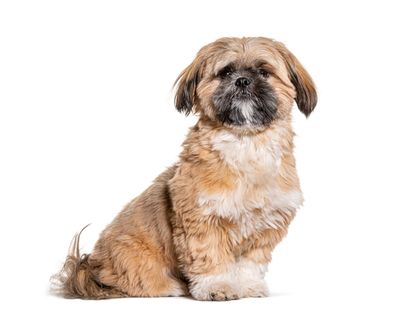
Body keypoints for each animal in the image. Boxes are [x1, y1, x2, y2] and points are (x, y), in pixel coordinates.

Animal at [51, 36, 318, 300]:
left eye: (264, 72)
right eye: (225, 72)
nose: (242, 80)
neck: (246, 143)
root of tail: (90, 267)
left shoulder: (266, 226)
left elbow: (250, 263)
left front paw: (248, 286)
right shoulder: (200, 218)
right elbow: (209, 257)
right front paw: (217, 287)